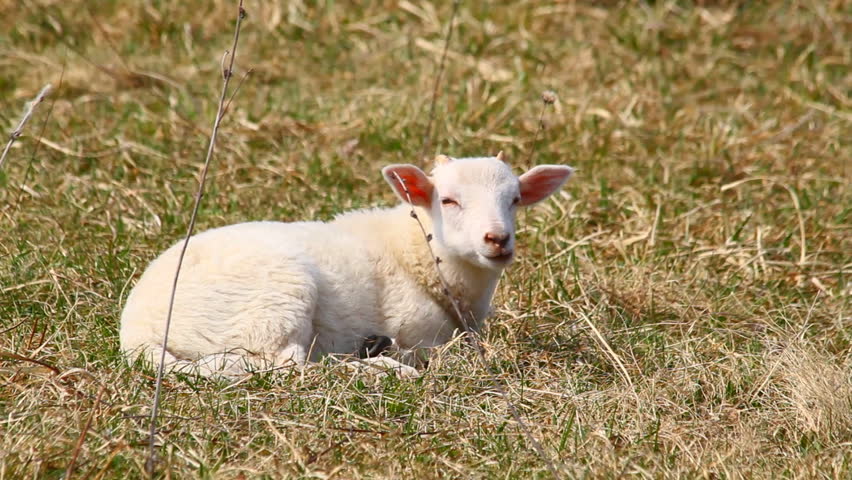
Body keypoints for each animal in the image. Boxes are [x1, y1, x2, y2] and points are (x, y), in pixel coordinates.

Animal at [119, 153, 574, 377]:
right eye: (448, 200)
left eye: (515, 199)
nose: (498, 240)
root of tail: (136, 331)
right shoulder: (422, 331)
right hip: (273, 301)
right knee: (286, 366)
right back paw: (379, 367)